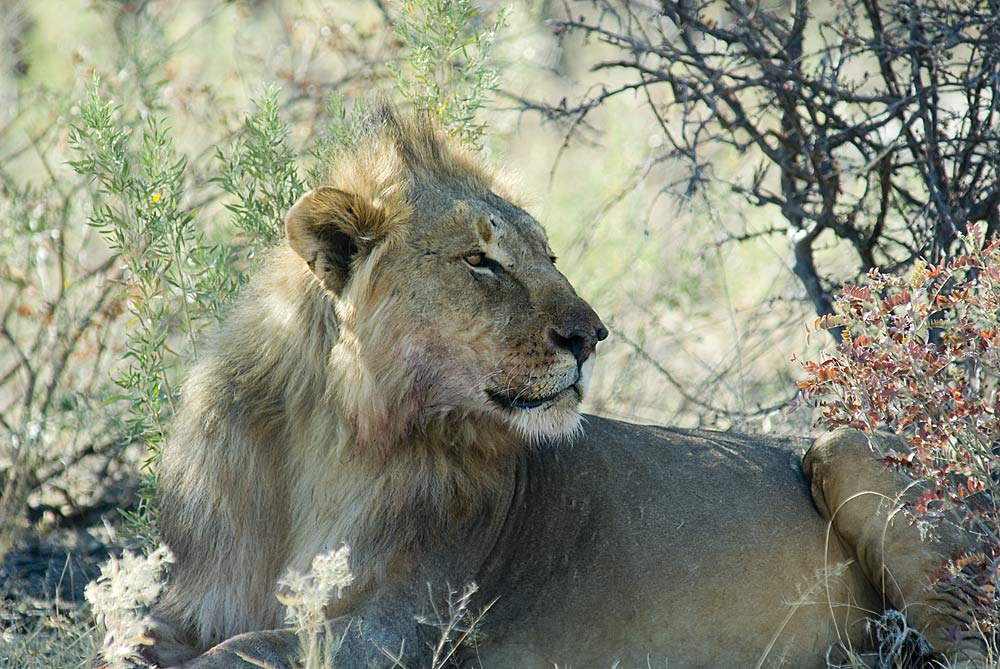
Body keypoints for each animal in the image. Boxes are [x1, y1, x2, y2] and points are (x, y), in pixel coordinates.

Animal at [131, 107, 984, 664]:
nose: (590, 334)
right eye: (482, 262)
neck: (334, 437)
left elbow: (242, 650)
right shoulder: (200, 595)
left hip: (848, 447)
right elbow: (141, 636)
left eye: (548, 255)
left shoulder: (403, 626)